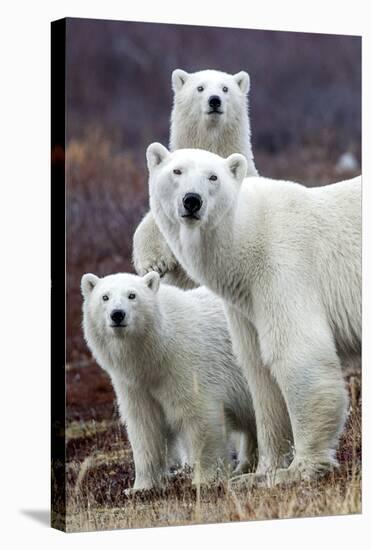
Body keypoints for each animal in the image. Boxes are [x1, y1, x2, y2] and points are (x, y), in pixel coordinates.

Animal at [81, 272, 258, 492]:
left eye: (132, 295)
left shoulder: (185, 365)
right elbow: (145, 427)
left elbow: (199, 417)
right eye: (105, 297)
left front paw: (204, 480)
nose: (117, 314)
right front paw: (139, 487)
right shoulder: (134, 385)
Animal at [147, 144, 362, 490]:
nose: (192, 201)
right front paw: (258, 473)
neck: (245, 239)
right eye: (177, 171)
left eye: (213, 176)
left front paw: (300, 469)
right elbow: (258, 370)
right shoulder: (244, 304)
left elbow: (297, 354)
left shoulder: (282, 266)